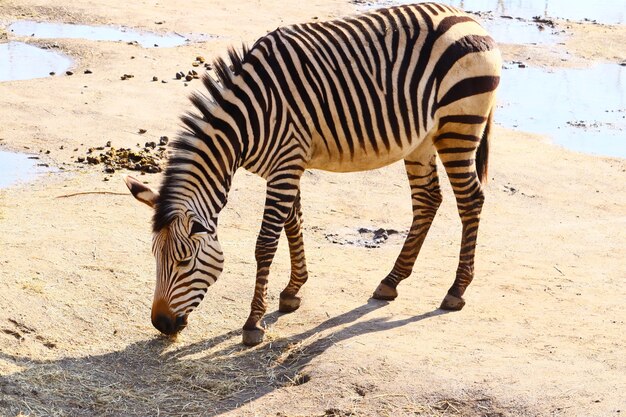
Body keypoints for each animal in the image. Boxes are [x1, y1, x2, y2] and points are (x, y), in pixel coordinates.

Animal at [124, 2, 500, 344]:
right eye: (155, 257)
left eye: (185, 261)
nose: (161, 324)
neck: (248, 121)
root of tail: (468, 18)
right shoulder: (287, 165)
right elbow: (294, 222)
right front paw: (293, 291)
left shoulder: (285, 164)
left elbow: (266, 243)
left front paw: (253, 323)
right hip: (421, 140)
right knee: (427, 200)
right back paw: (391, 281)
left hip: (458, 125)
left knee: (470, 200)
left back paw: (456, 290)